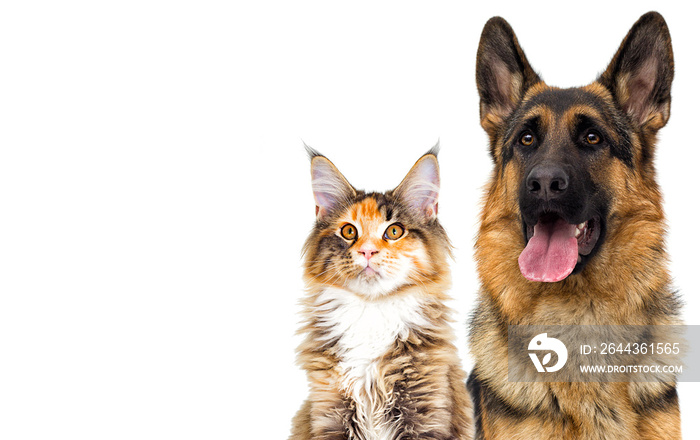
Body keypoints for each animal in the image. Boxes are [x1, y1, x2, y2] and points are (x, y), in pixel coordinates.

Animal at [288, 149, 474, 440]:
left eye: (394, 231)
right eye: (349, 231)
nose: (367, 251)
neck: (371, 312)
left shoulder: (425, 411)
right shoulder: (329, 411)